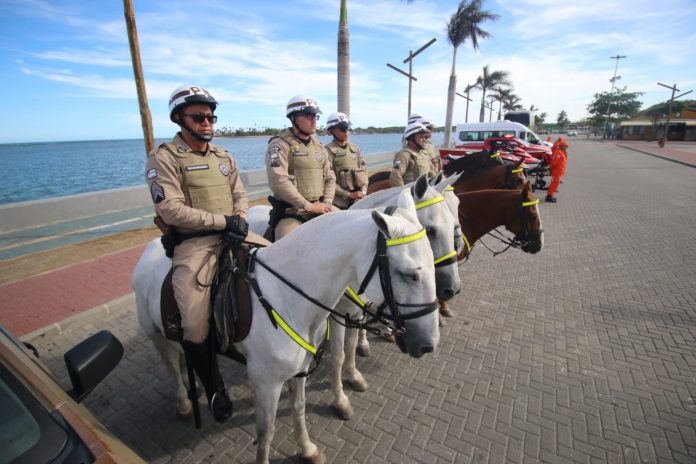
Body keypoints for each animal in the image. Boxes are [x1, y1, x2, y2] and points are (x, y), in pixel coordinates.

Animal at [133, 189, 438, 464]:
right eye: (409, 275)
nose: (428, 344)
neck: (285, 295)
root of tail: (151, 248)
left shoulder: (300, 369)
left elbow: (299, 408)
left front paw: (307, 449)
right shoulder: (266, 383)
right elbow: (266, 431)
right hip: (157, 334)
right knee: (172, 363)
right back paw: (185, 402)